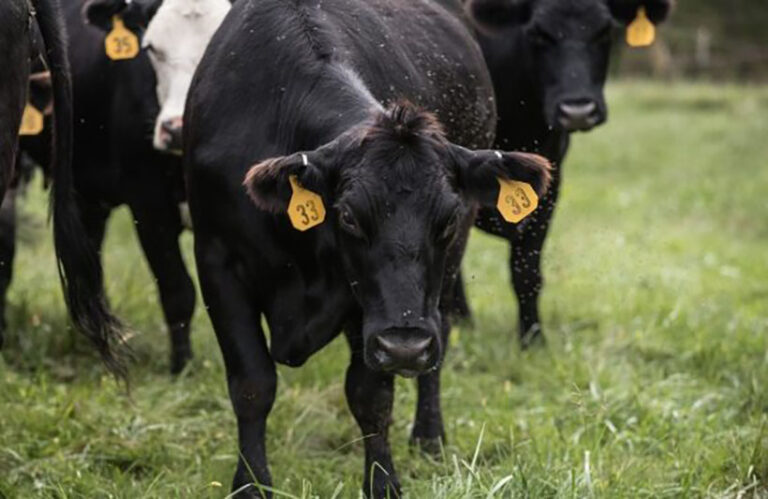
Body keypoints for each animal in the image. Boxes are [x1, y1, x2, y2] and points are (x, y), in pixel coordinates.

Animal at [169, 0, 552, 496]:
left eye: (446, 218)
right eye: (348, 216)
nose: (406, 348)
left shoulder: (370, 309)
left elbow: (370, 395)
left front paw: (383, 482)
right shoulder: (217, 260)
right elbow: (252, 383)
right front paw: (251, 483)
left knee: (441, 334)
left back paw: (429, 437)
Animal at [450, 0, 672, 346]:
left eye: (604, 31)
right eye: (539, 33)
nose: (577, 110)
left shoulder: (548, 187)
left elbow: (526, 272)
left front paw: (533, 340)